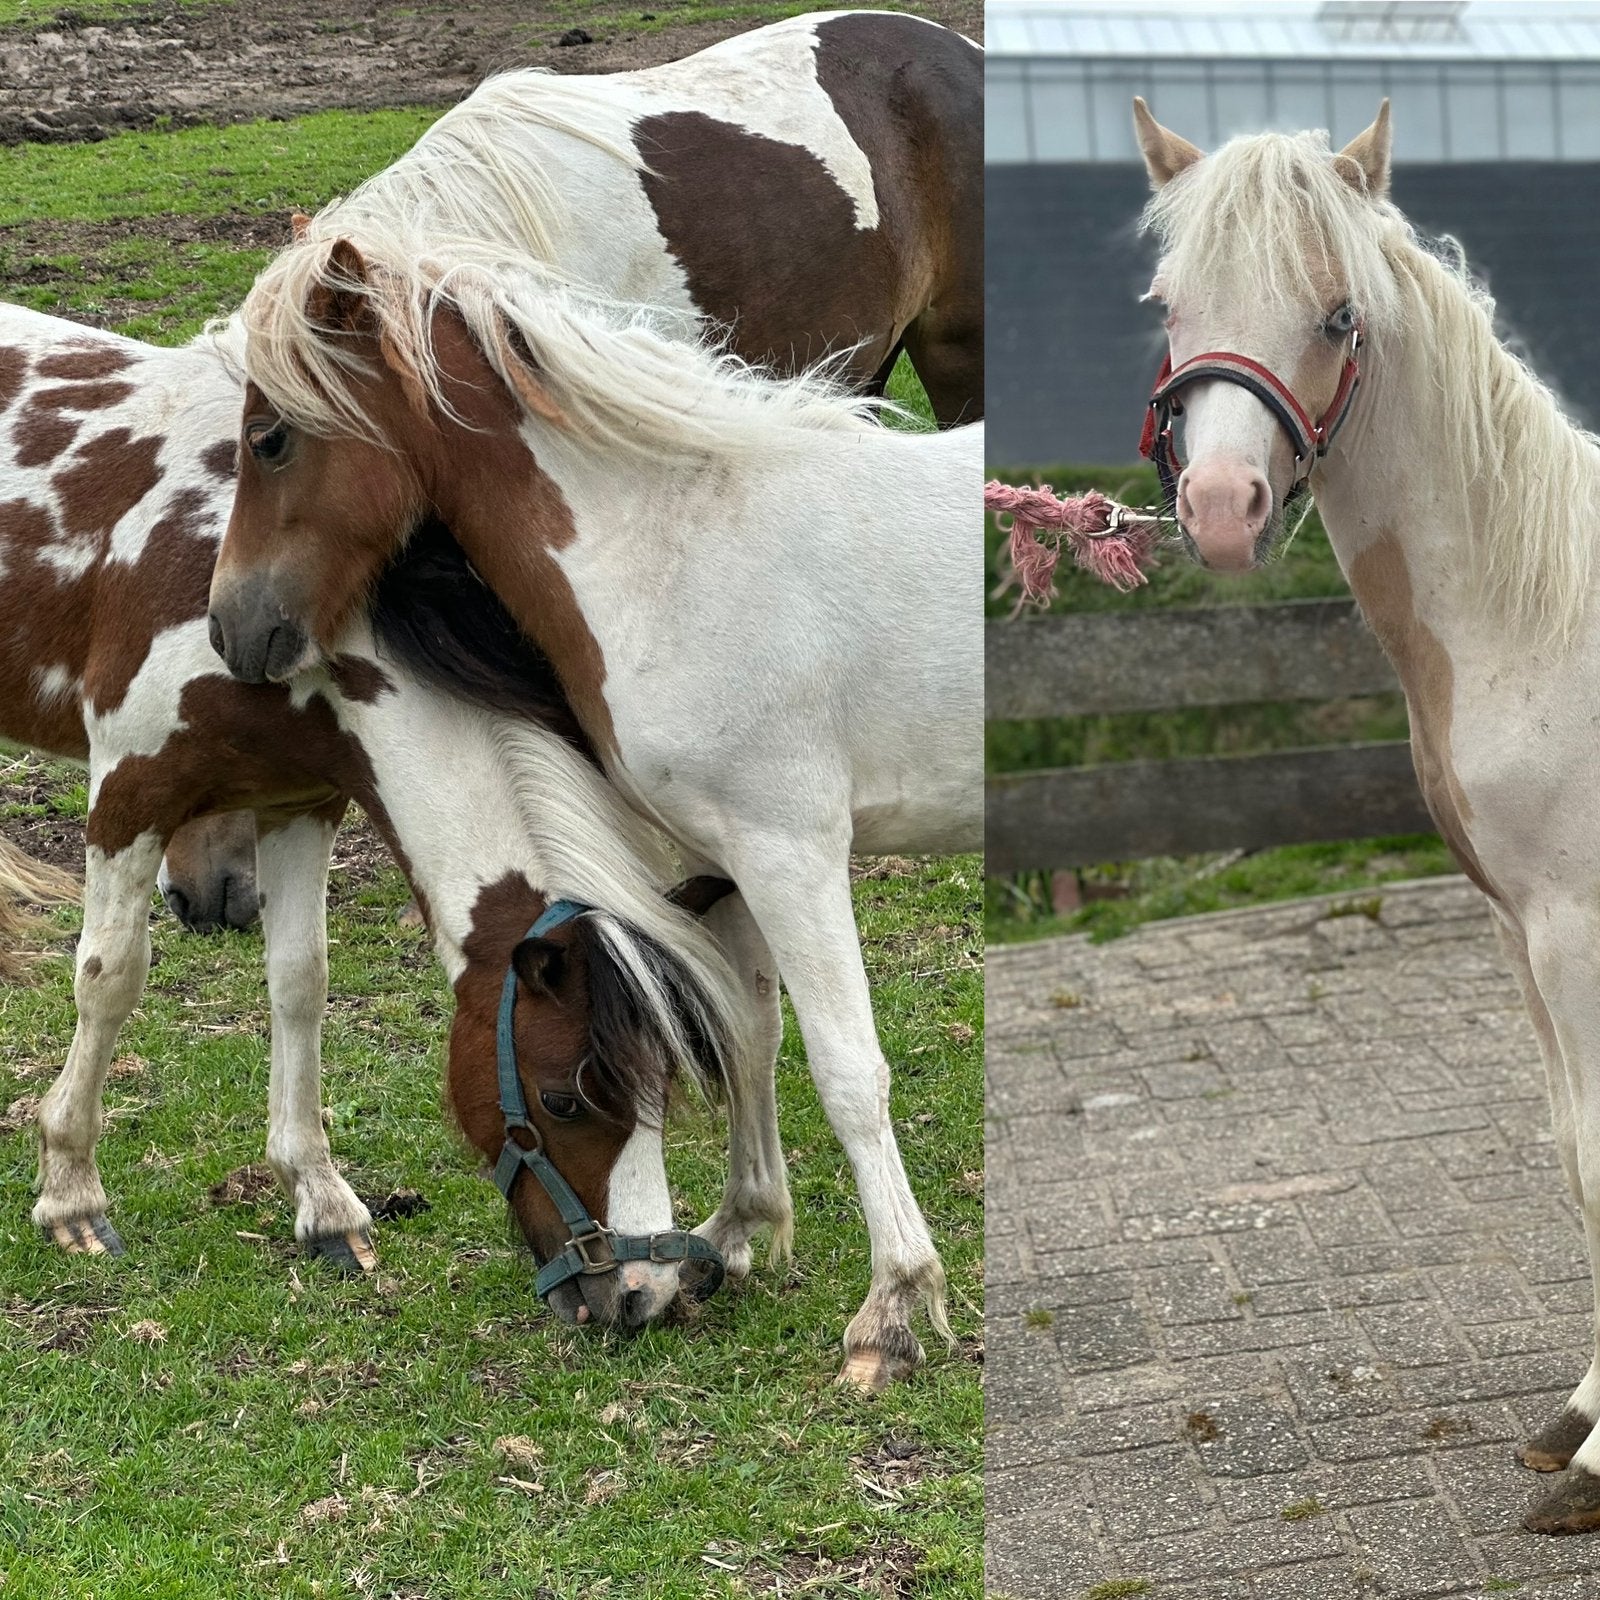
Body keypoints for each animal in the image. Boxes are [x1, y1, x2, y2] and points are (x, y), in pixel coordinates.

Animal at [0, 297, 750, 1332]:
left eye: (665, 1087)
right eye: (562, 1100)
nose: (644, 1295)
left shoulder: (301, 803)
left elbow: (300, 984)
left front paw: (322, 1204)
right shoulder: (131, 795)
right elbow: (109, 982)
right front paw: (71, 1192)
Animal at [204, 226, 982, 1391]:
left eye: (270, 439)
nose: (232, 629)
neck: (673, 550)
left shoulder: (790, 852)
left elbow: (848, 1073)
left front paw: (892, 1310)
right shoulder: (727, 856)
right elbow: (746, 1032)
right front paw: (740, 1233)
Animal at [1130, 97, 1600, 1532]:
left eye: (1338, 314)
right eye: (1171, 303)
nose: (1221, 512)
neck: (1537, 613)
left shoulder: (1577, 930)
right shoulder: (1520, 934)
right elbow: (1575, 1159)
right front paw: (1576, 1422)